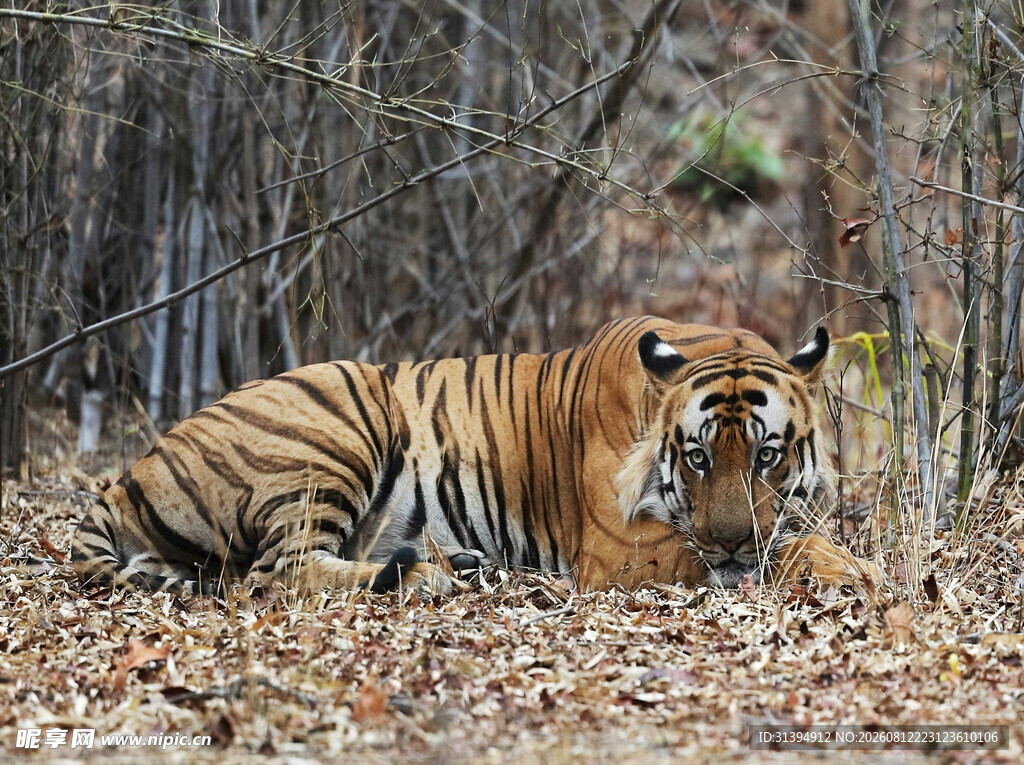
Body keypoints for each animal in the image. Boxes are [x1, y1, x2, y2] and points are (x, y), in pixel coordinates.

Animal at [71, 316, 853, 597]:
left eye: (767, 457)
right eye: (695, 458)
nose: (729, 545)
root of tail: (124, 480)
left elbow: (795, 534)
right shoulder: (623, 550)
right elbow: (785, 549)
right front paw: (848, 573)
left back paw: (458, 565)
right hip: (341, 410)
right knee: (277, 573)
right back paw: (424, 576)